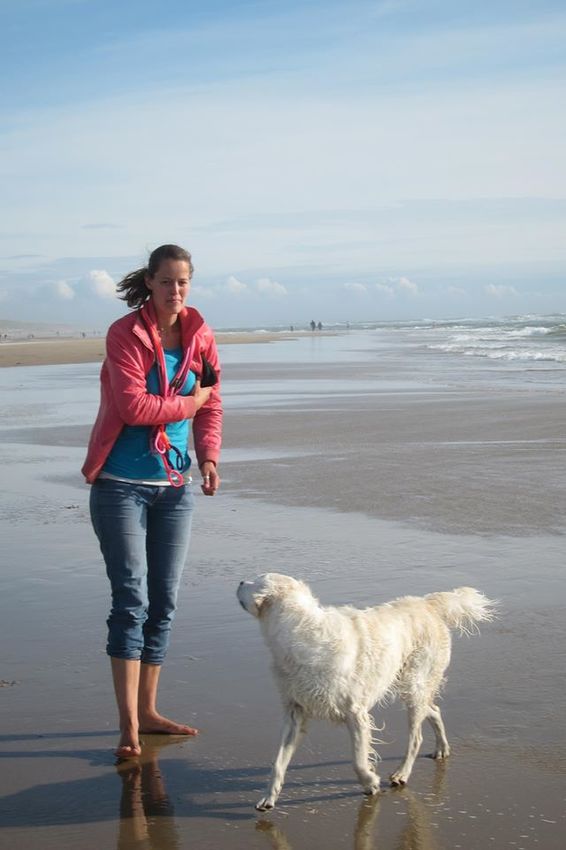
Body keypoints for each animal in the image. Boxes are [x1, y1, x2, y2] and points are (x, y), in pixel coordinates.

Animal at [237, 573, 496, 811]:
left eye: (256, 580)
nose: (239, 581)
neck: (296, 633)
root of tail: (427, 603)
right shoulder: (295, 712)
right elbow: (278, 762)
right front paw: (268, 798)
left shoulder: (356, 713)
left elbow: (358, 760)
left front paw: (370, 782)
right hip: (414, 687)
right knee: (433, 709)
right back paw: (442, 748)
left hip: (415, 684)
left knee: (417, 736)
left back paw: (402, 773)